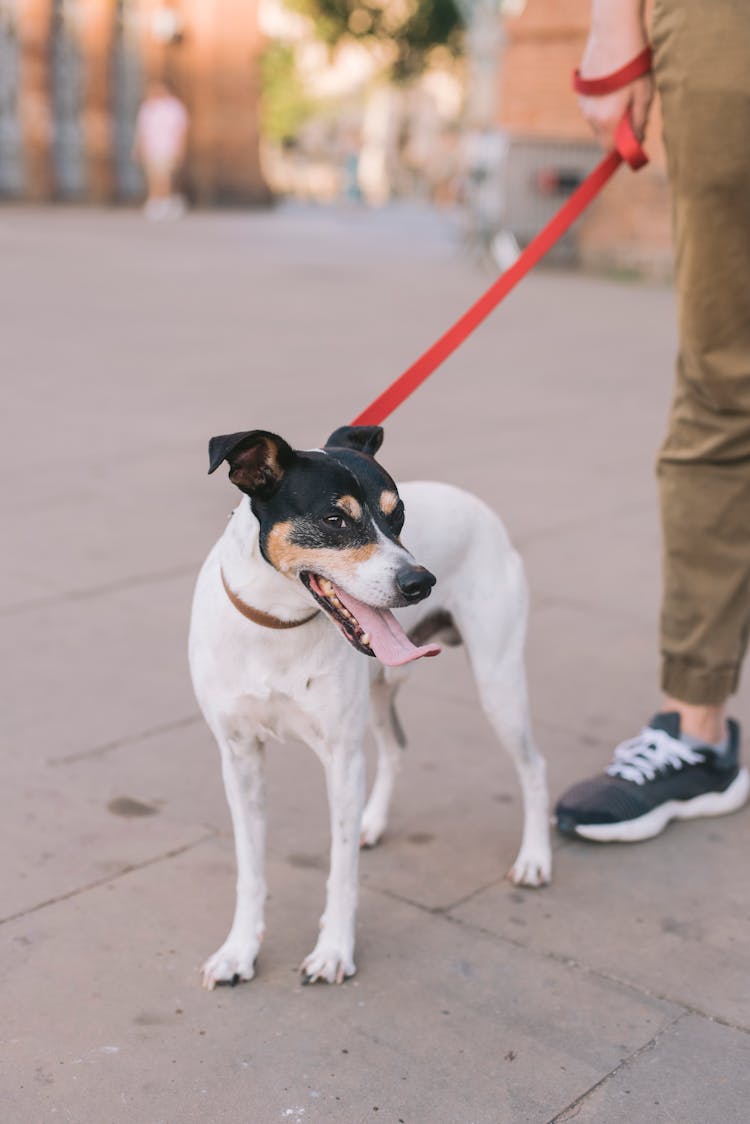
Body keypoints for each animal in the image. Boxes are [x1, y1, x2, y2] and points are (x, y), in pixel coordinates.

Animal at [187, 424, 550, 989]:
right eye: (334, 519)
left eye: (398, 516)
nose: (420, 583)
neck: (279, 626)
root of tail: (475, 502)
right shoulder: (239, 757)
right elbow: (250, 870)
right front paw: (239, 951)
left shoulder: (339, 758)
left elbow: (341, 875)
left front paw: (334, 950)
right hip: (381, 691)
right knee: (396, 747)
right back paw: (371, 822)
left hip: (499, 681)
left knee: (533, 765)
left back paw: (534, 859)